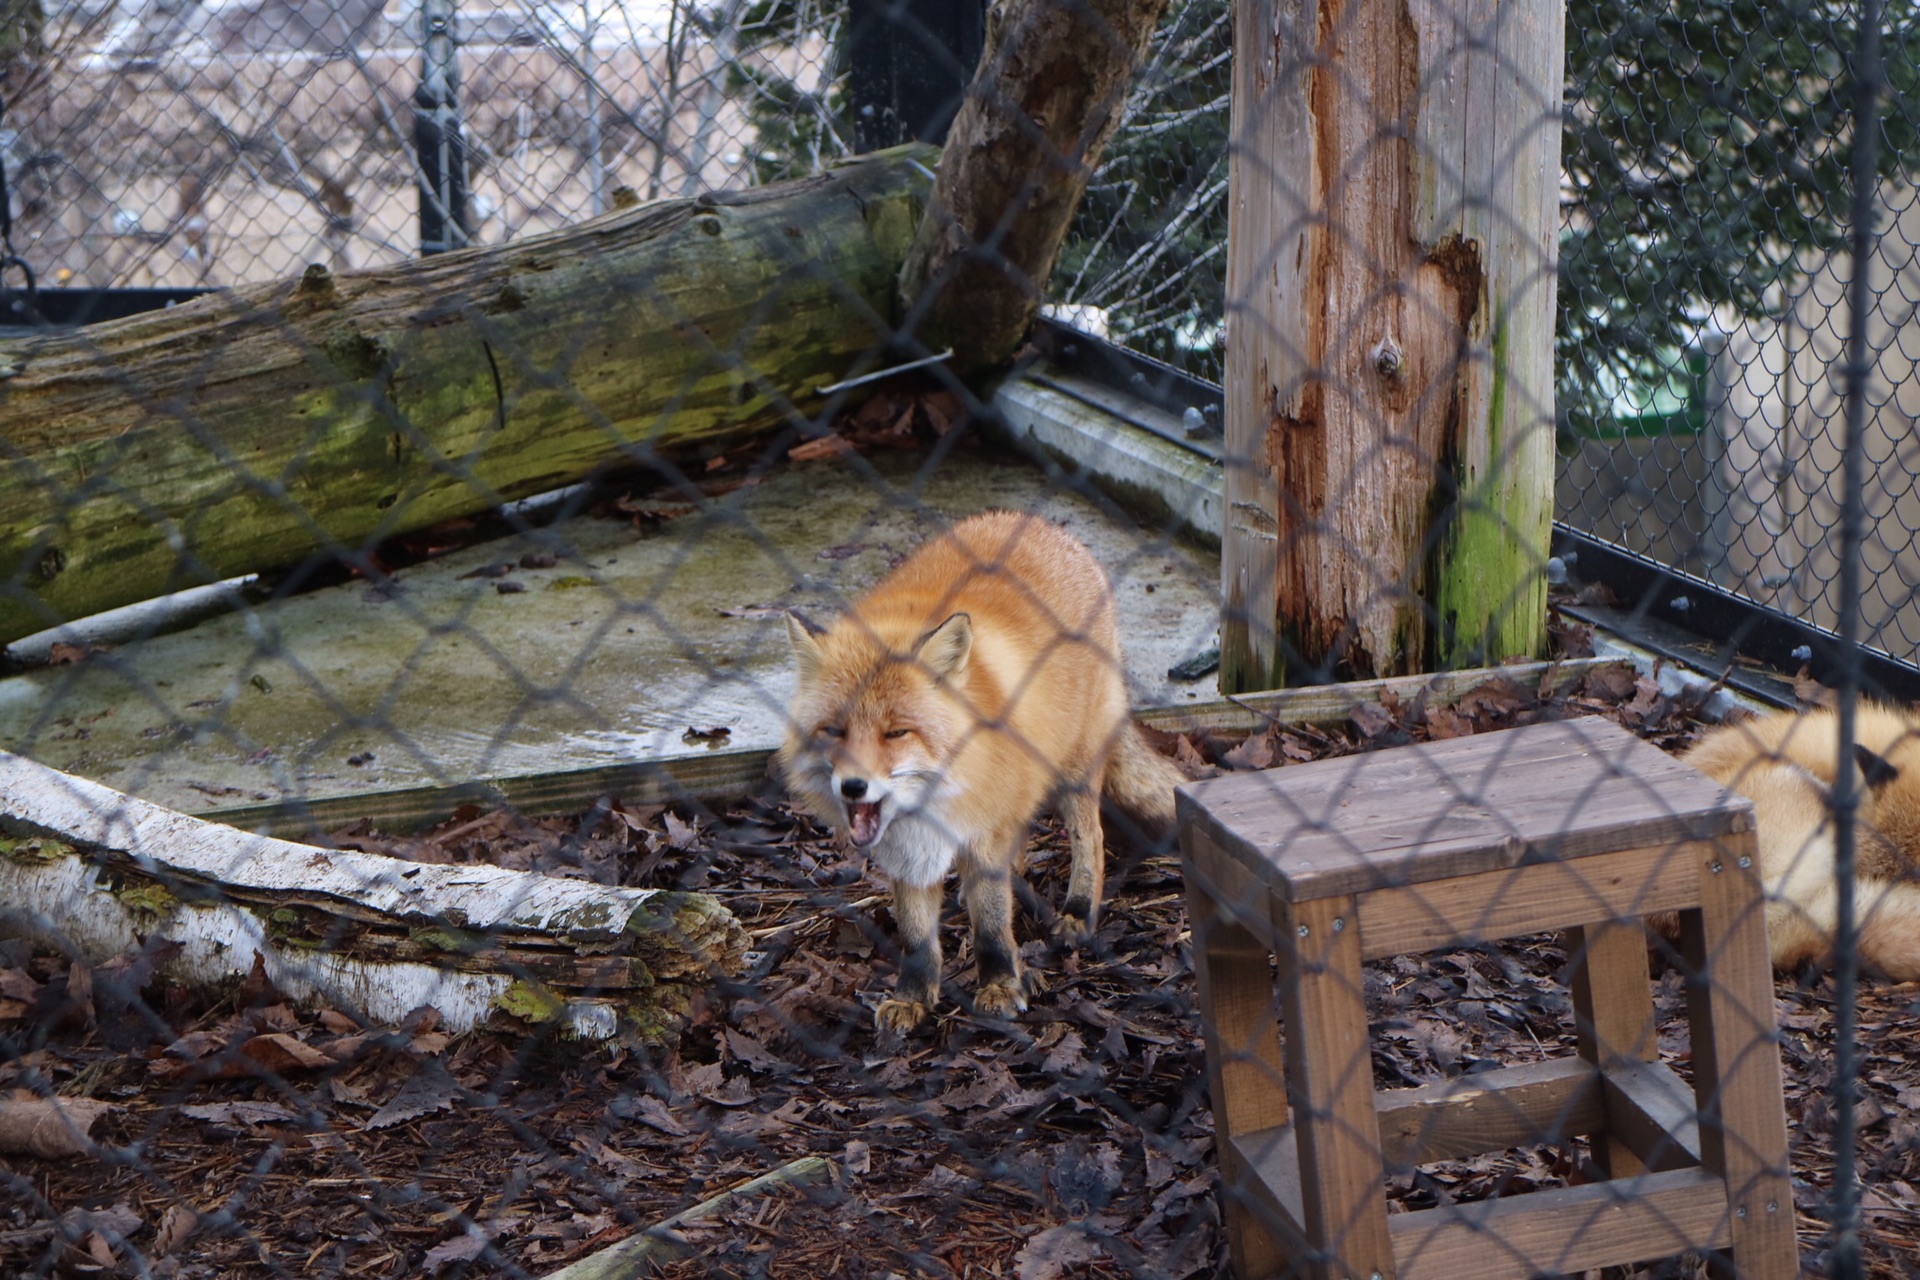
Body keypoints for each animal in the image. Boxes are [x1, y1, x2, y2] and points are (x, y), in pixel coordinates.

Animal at [779, 506, 1182, 1028]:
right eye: (834, 731)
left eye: (896, 733)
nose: (852, 787)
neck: (934, 803)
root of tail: (1041, 524)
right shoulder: (909, 855)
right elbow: (916, 936)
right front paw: (913, 996)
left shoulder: (986, 832)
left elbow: (990, 923)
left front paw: (1000, 985)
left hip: (1073, 770)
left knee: (1090, 836)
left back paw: (1078, 911)